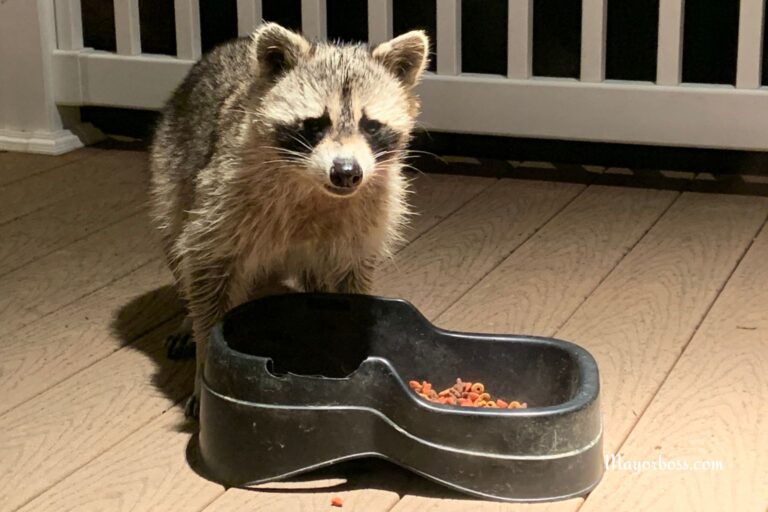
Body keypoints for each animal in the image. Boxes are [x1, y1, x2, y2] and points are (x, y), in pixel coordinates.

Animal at [148, 23, 430, 417]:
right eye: (315, 125)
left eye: (370, 125)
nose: (346, 173)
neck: (315, 187)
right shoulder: (222, 201)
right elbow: (206, 274)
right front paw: (205, 368)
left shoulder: (368, 216)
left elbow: (350, 283)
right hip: (171, 167)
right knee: (178, 245)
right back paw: (186, 315)